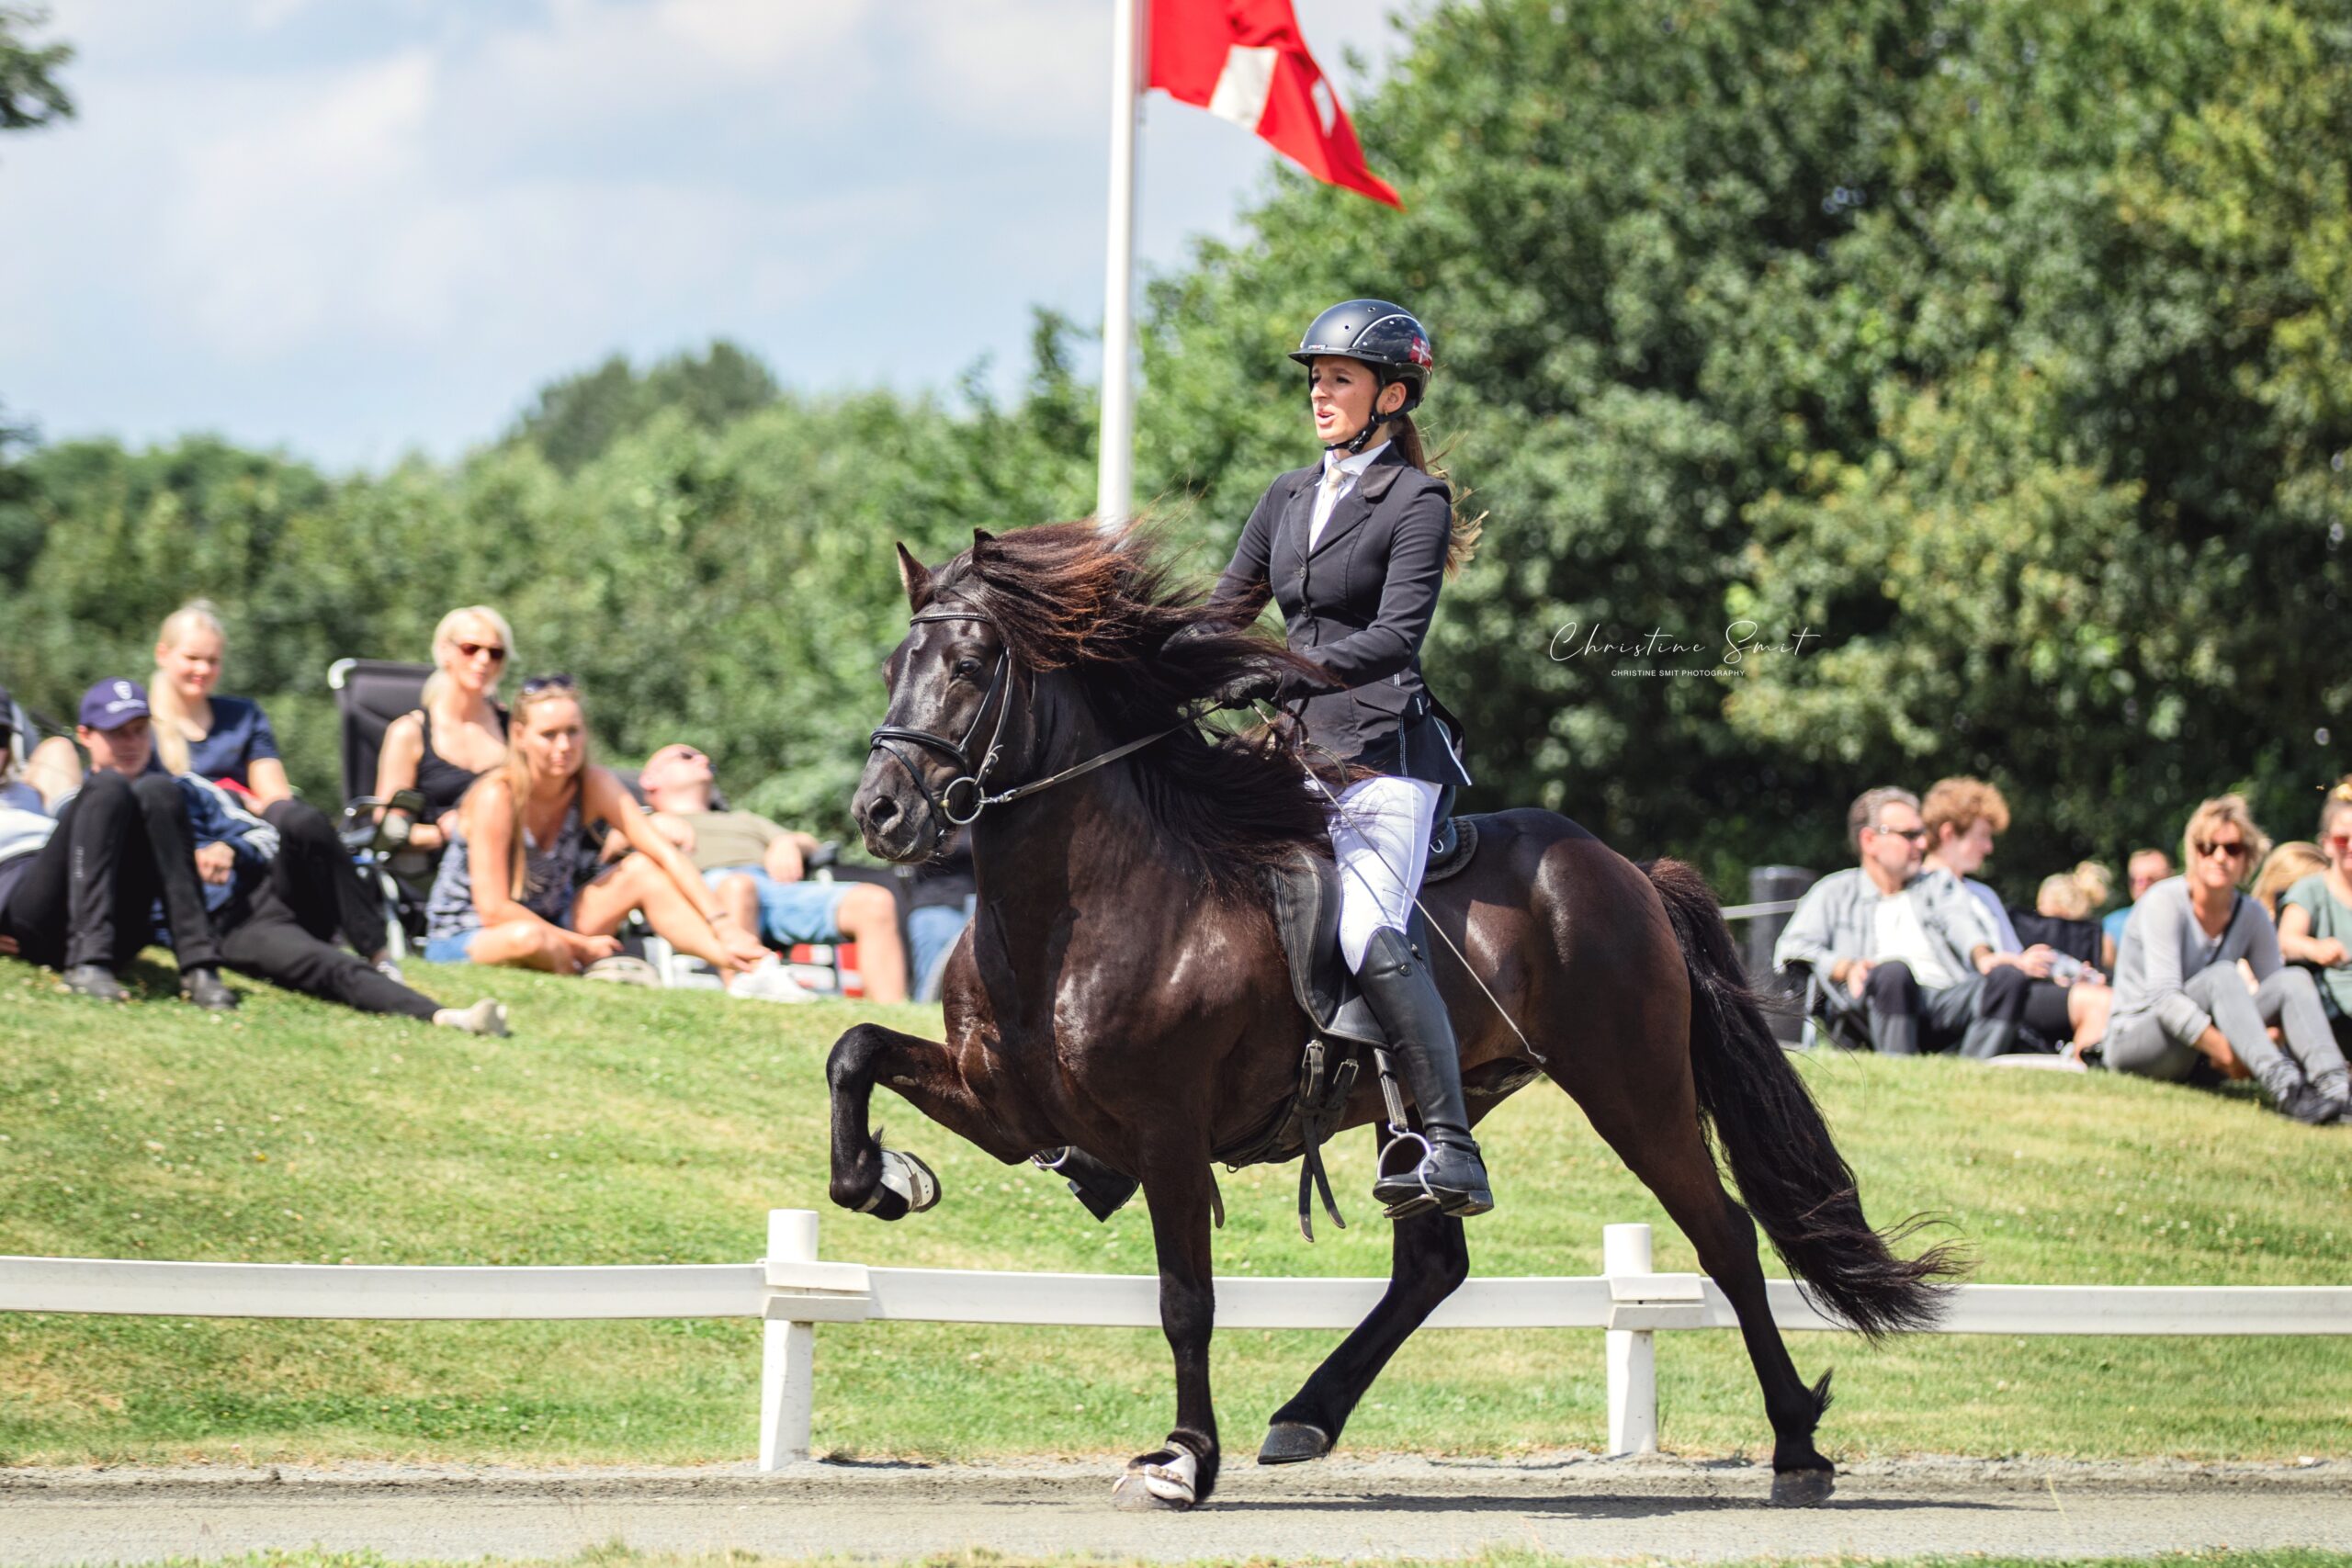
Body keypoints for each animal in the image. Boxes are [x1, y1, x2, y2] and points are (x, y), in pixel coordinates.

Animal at [828, 522, 1947, 1514]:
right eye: (890, 664)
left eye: (970, 666)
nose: (880, 814)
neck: (1077, 911)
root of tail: (1626, 869)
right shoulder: (1011, 1105)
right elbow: (855, 1051)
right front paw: (887, 1178)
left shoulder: (1167, 1132)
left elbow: (1185, 1299)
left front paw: (1183, 1459)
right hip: (1428, 1104)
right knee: (1434, 1261)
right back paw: (1305, 1416)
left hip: (1635, 1090)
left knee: (1725, 1238)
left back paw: (1798, 1448)